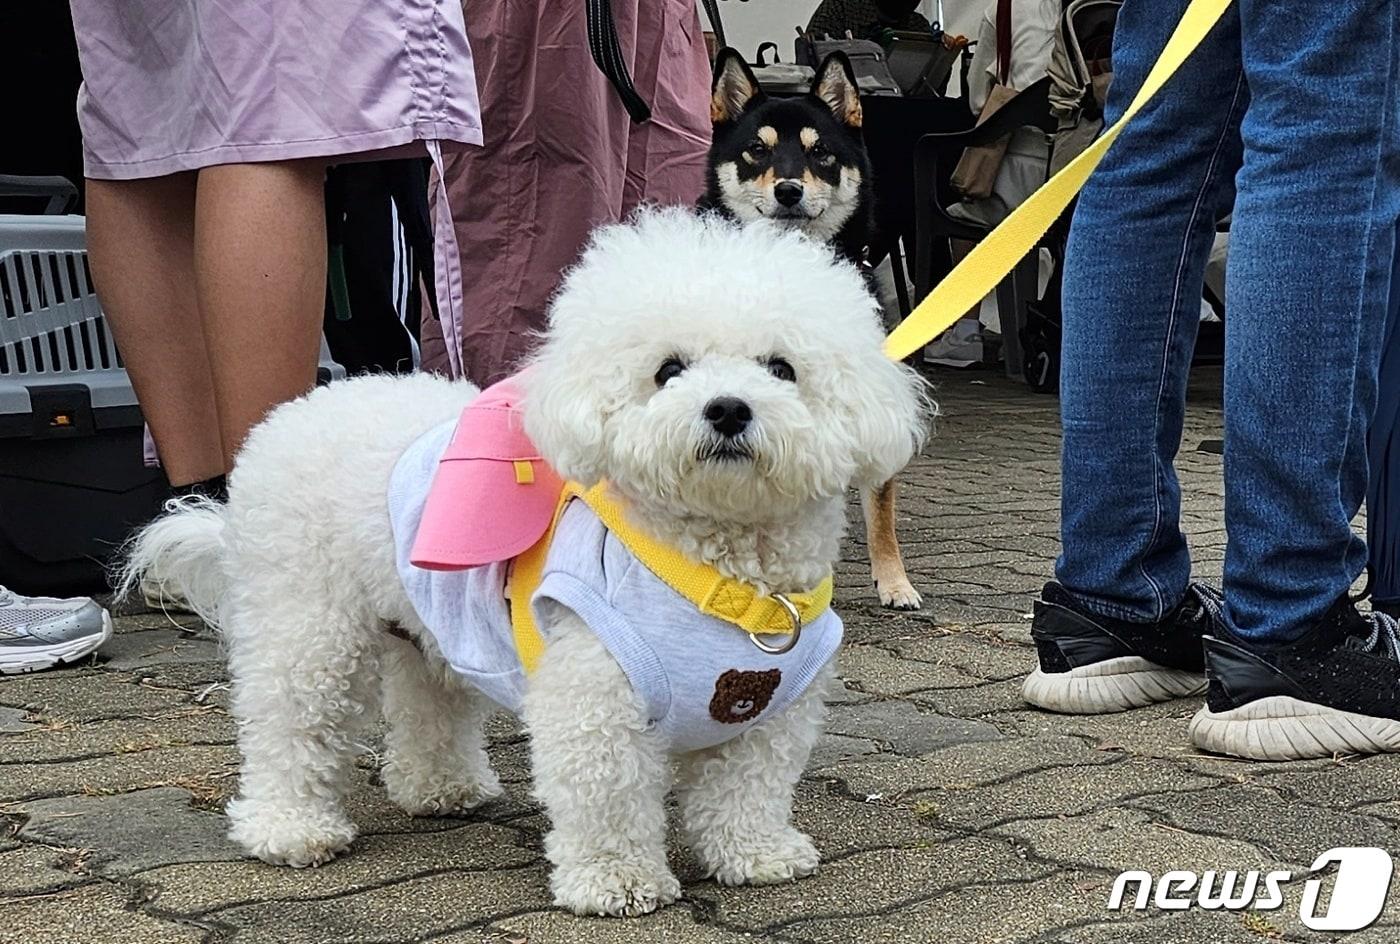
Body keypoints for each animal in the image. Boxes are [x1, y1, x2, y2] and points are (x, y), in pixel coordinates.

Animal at [120, 205, 929, 913]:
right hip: (306, 623)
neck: (720, 573)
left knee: (428, 703)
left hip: (426, 625)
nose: (728, 408)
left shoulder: (768, 713)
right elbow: (606, 799)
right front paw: (615, 881)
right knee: (288, 721)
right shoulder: (595, 699)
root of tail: (300, 410)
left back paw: (440, 787)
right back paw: (290, 828)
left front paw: (756, 854)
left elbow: (748, 792)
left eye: (781, 368)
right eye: (669, 370)